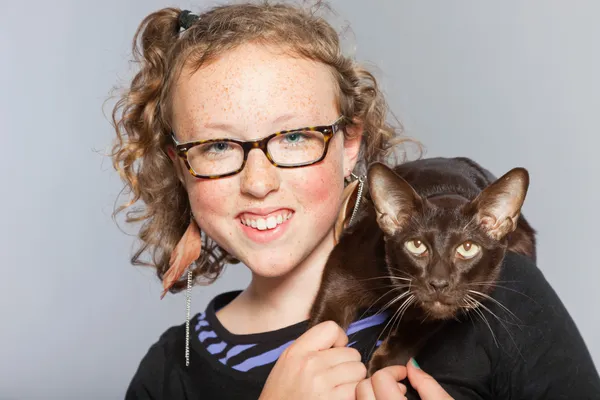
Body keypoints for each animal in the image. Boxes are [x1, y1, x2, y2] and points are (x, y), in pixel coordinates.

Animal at [310, 156, 536, 376]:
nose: (438, 283)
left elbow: (417, 330)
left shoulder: (457, 304)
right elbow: (326, 322)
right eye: (416, 245)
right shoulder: (341, 269)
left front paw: (380, 368)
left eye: (467, 248)